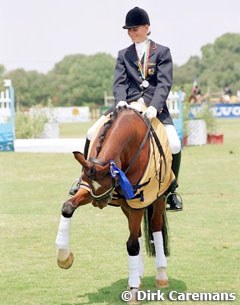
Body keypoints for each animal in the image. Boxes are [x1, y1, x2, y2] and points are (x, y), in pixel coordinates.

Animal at [56, 105, 174, 302]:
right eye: (91, 185)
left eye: (107, 183)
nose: (99, 202)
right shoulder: (88, 190)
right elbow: (67, 207)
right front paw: (64, 258)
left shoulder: (138, 199)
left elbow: (132, 245)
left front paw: (133, 293)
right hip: (127, 206)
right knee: (137, 232)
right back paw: (139, 275)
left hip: (157, 198)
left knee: (155, 228)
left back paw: (161, 275)